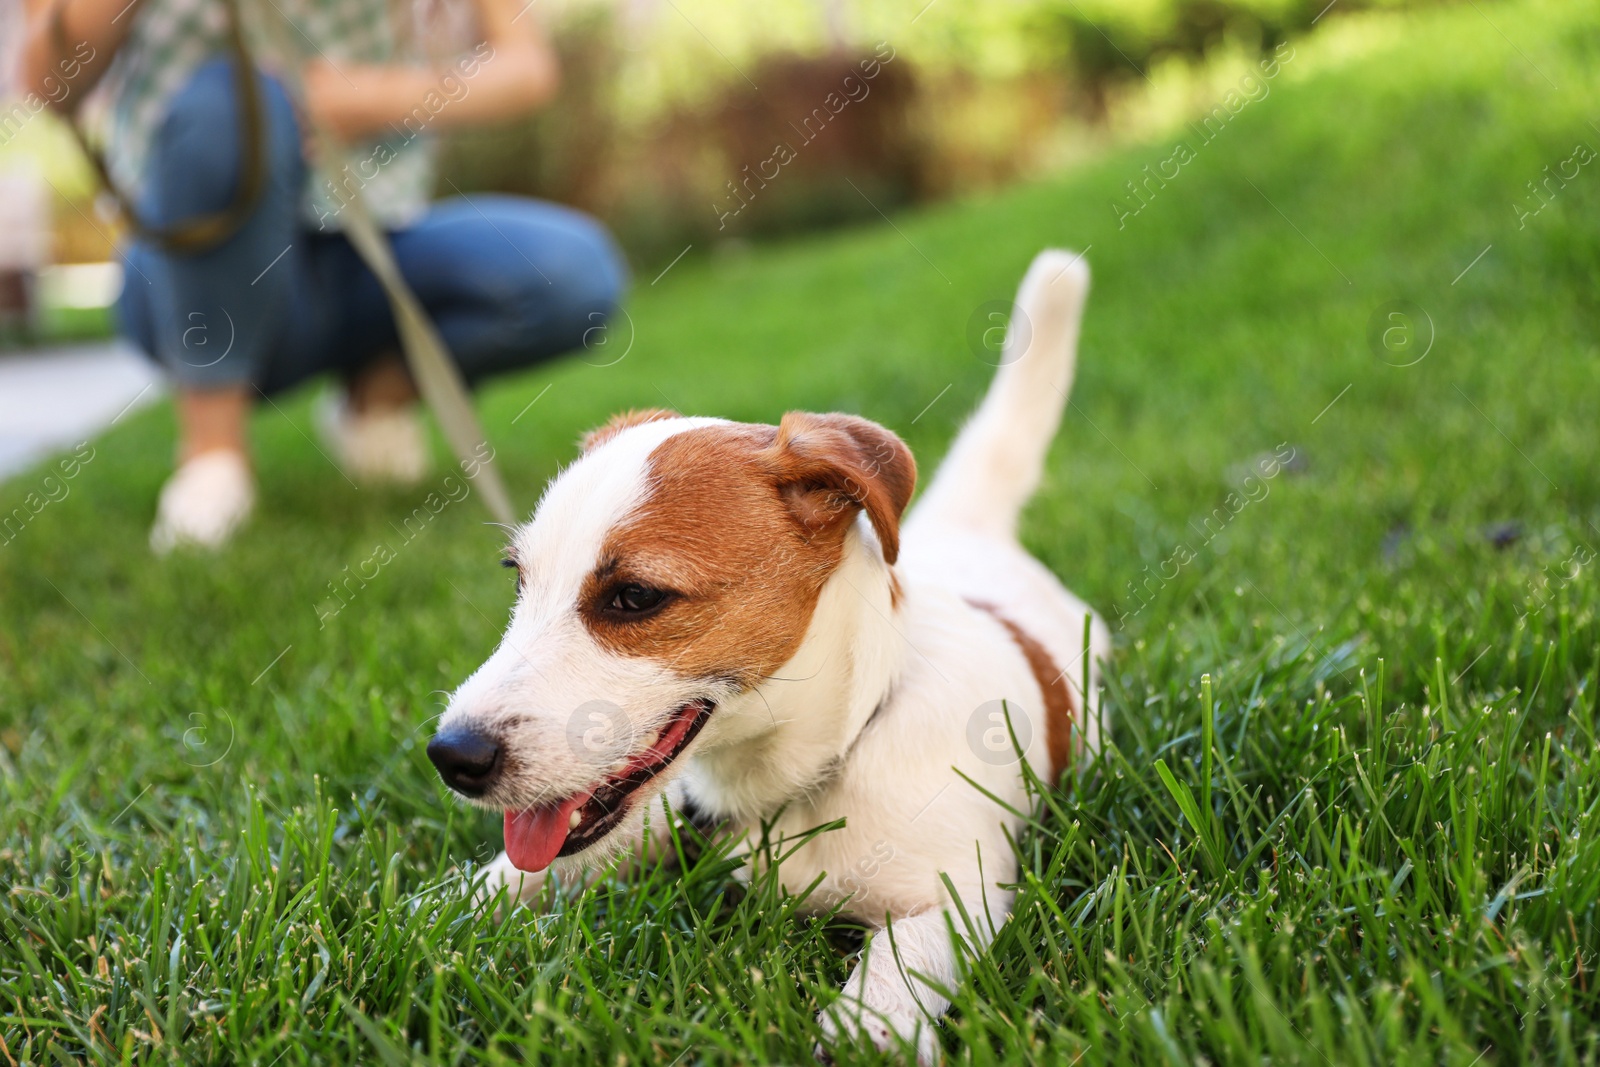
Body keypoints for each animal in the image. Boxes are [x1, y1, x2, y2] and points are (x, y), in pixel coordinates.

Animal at [432, 247, 1120, 1062]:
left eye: (634, 597)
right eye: (519, 577)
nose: (451, 756)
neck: (812, 768)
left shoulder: (958, 891)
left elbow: (901, 966)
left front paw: (869, 1026)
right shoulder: (647, 822)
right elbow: (498, 880)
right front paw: (431, 913)